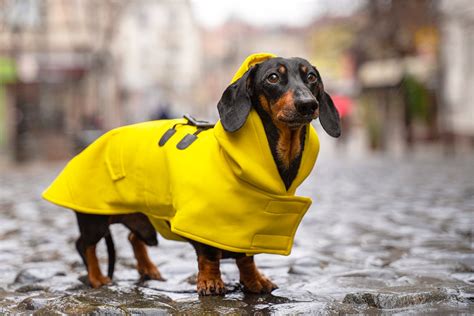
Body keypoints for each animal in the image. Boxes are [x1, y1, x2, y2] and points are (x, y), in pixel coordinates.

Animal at [45, 54, 340, 294]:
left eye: (311, 77)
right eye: (273, 77)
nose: (308, 104)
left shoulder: (246, 225)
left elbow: (246, 257)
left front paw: (254, 281)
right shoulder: (203, 222)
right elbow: (208, 255)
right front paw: (210, 282)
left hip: (144, 217)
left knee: (132, 237)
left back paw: (148, 270)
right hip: (94, 218)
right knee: (84, 245)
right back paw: (97, 278)